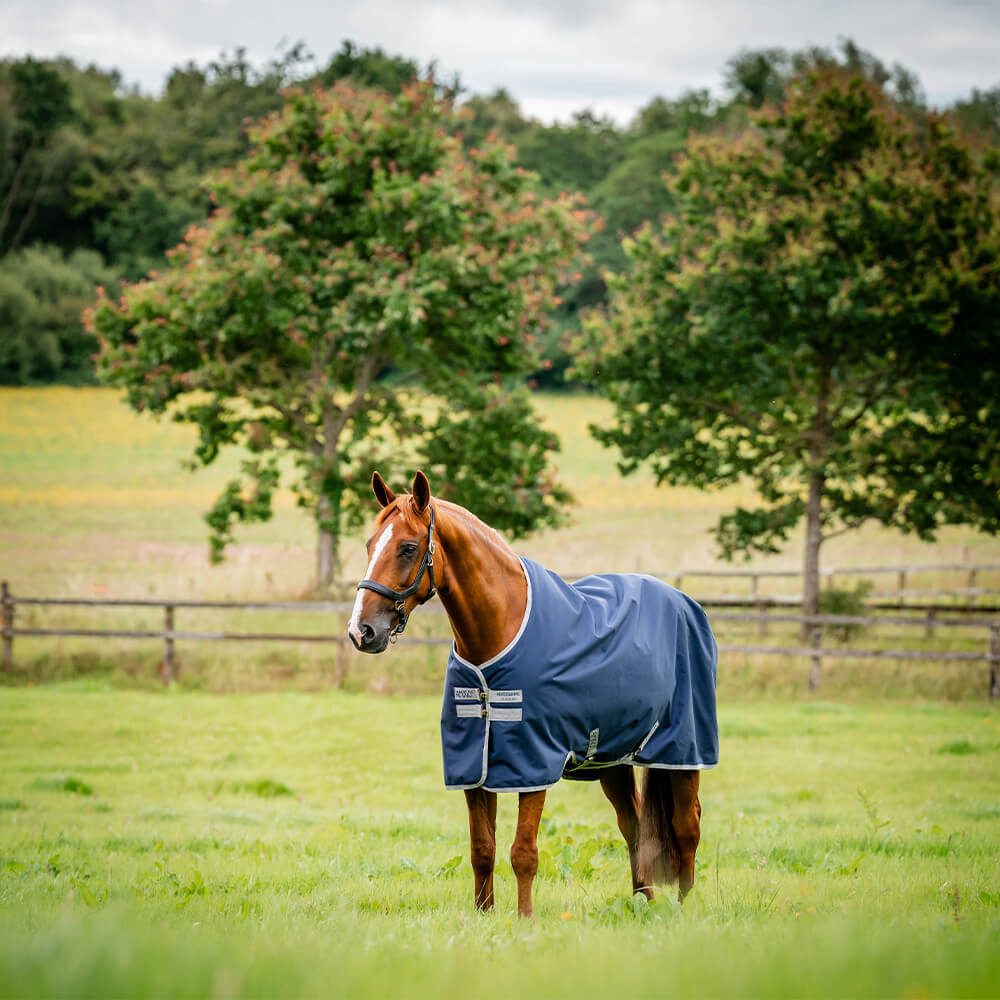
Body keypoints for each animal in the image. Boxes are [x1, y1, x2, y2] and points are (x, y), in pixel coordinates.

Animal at [348, 470, 719, 918]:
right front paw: (484, 915)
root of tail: (684, 603)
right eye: (370, 545)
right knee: (633, 827)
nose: (362, 631)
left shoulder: (533, 761)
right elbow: (482, 849)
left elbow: (523, 852)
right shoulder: (474, 765)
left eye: (407, 547)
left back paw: (685, 907)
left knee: (687, 825)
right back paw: (641, 902)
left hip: (682, 750)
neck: (500, 631)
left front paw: (525, 920)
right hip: (612, 759)